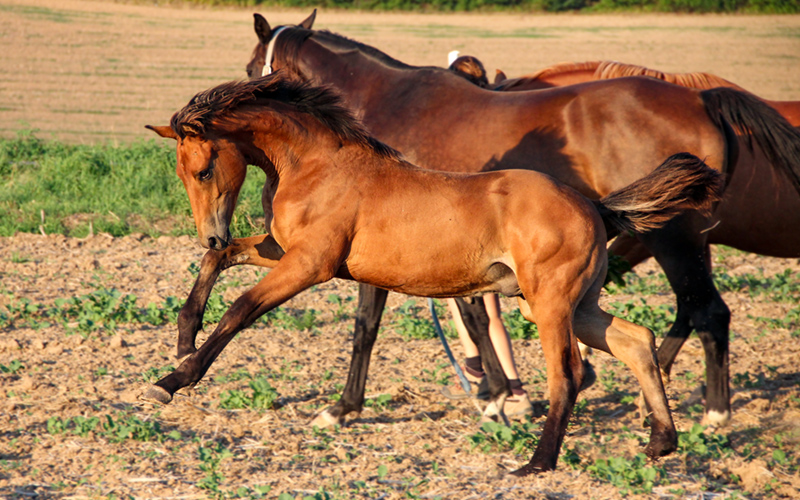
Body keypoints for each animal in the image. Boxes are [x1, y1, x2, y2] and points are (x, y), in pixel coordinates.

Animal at [144, 76, 724, 474]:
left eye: (203, 170)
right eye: (180, 173)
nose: (209, 232)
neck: (318, 167)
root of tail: (594, 206)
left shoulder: (310, 264)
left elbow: (241, 308)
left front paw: (172, 382)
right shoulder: (282, 250)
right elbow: (221, 262)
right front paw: (183, 335)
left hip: (551, 304)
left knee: (570, 373)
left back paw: (537, 463)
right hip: (570, 305)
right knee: (636, 340)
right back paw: (660, 442)